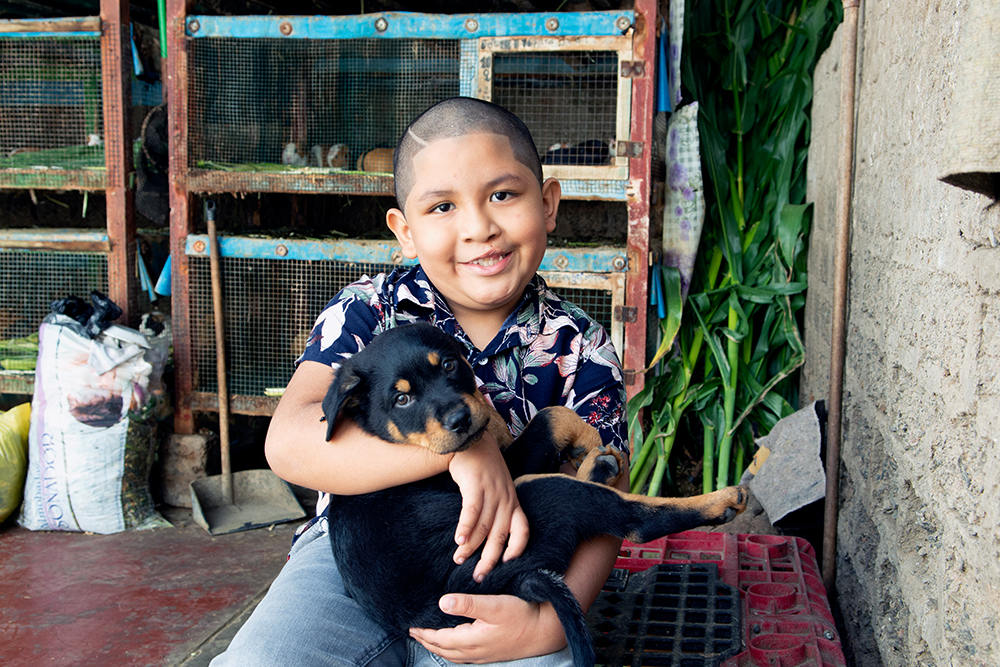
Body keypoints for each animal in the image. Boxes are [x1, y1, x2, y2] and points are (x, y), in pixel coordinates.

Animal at [324, 320, 748, 664]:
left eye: (447, 365)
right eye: (402, 399)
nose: (460, 420)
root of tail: (506, 585)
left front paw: (590, 447)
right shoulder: (510, 467)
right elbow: (550, 415)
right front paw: (590, 437)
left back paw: (600, 466)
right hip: (537, 499)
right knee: (635, 520)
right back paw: (722, 500)